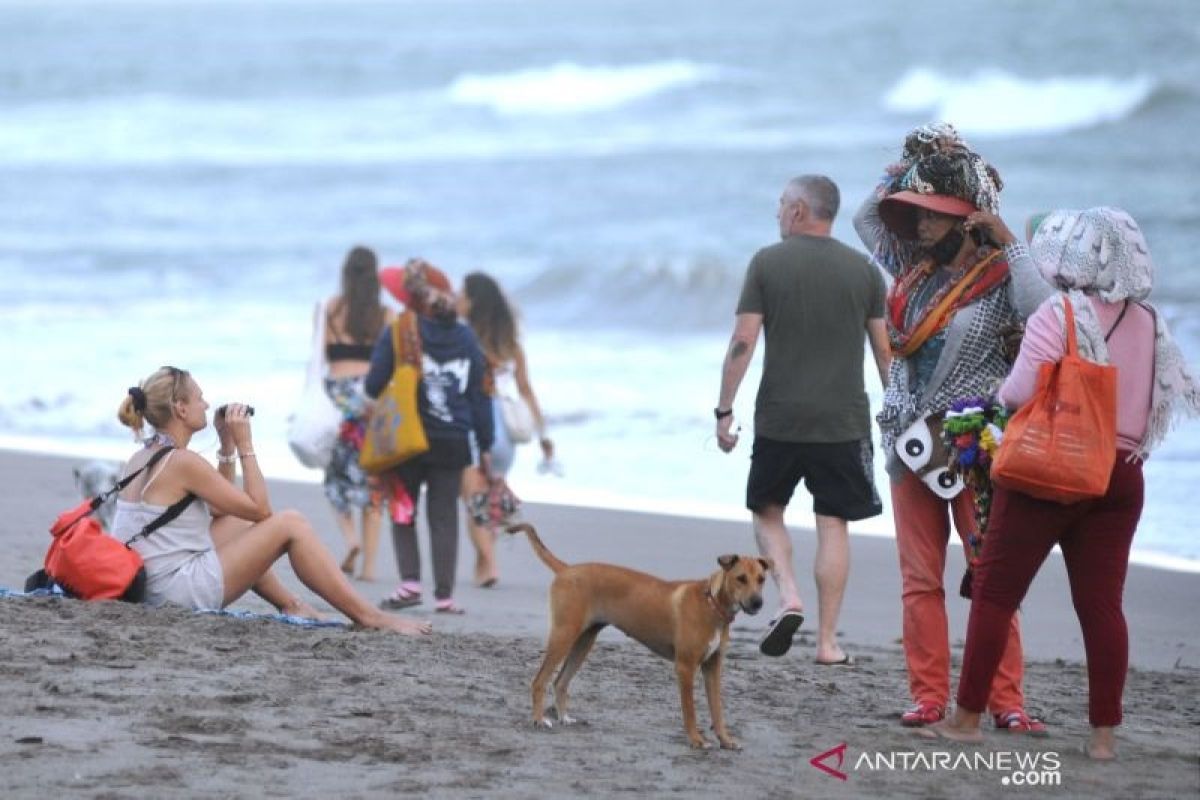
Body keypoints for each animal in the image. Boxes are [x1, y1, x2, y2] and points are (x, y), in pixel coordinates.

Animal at [506, 522, 768, 748]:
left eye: (761, 579)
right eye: (741, 578)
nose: (758, 603)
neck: (711, 604)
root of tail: (567, 569)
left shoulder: (713, 667)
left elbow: (718, 709)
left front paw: (726, 739)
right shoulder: (685, 667)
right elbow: (690, 710)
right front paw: (696, 739)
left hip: (584, 641)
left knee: (560, 682)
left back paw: (564, 717)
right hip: (563, 635)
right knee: (539, 680)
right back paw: (539, 719)